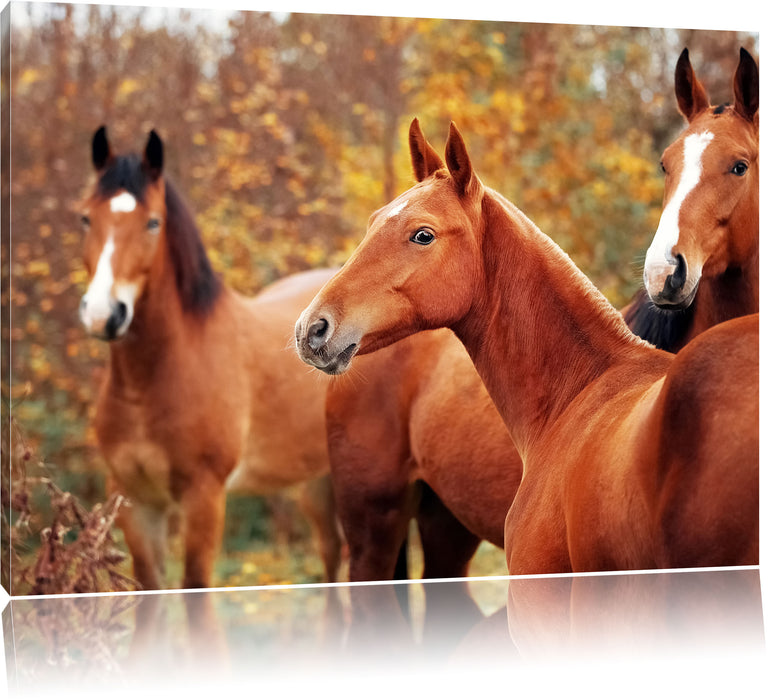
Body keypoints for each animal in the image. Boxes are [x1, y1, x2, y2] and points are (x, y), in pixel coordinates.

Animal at [79, 127, 342, 592]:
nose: (102, 314)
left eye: (153, 223)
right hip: (316, 482)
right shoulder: (137, 502)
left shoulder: (204, 497)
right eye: (86, 219)